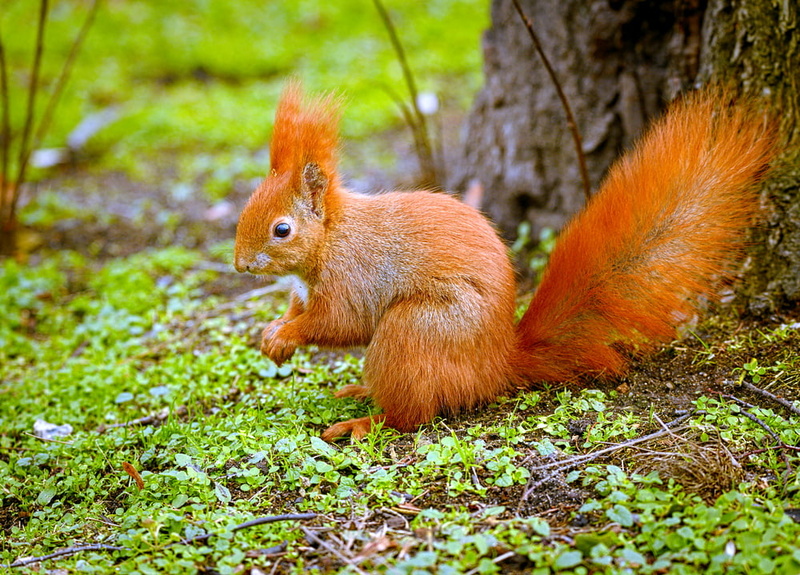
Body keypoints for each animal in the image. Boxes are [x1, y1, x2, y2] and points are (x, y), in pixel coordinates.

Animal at [234, 82, 779, 441]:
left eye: (282, 229)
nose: (240, 266)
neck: (330, 241)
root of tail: (497, 364)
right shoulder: (305, 288)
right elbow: (299, 309)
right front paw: (273, 332)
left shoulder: (356, 275)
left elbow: (338, 322)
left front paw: (287, 336)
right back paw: (356, 392)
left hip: (413, 333)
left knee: (411, 415)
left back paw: (362, 421)